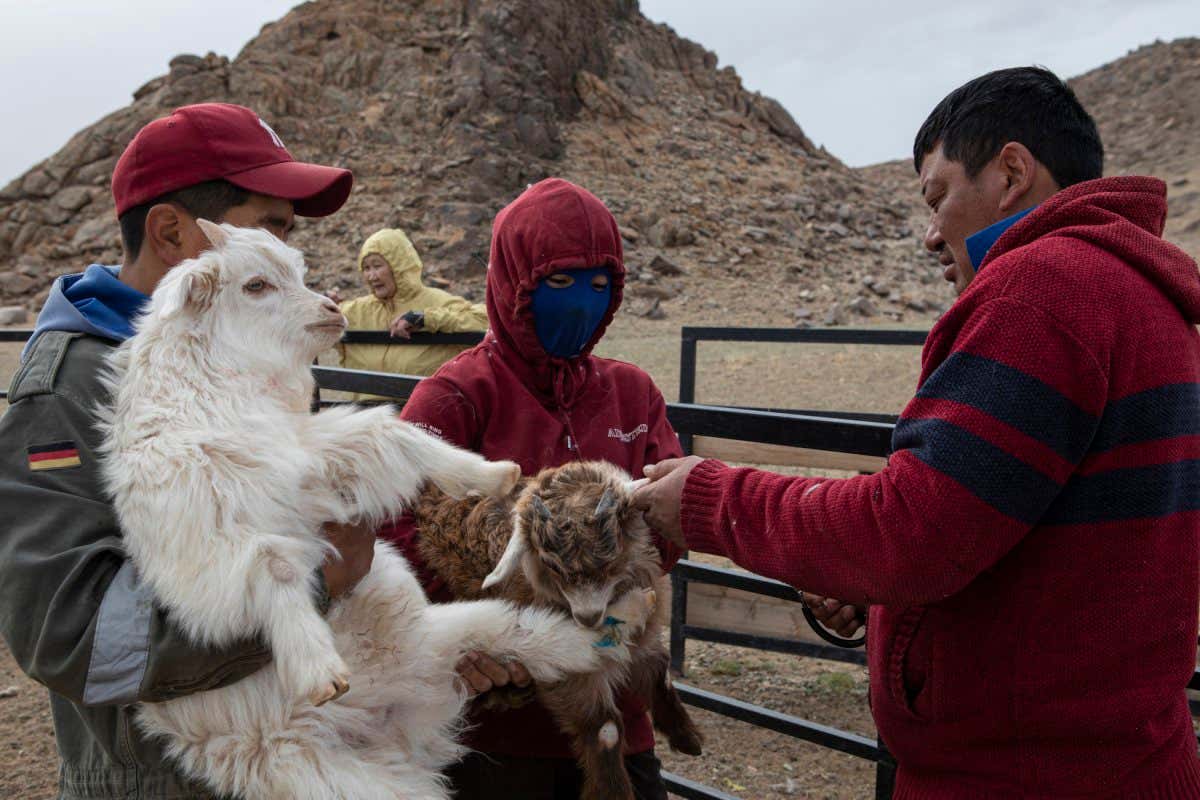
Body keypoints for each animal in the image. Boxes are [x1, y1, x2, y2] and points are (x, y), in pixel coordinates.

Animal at [99, 221, 657, 800]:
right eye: (255, 285)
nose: (331, 309)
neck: (212, 392)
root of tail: (384, 719)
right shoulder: (202, 550)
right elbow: (274, 564)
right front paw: (318, 667)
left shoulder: (304, 450)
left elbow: (386, 432)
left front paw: (492, 475)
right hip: (333, 770)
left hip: (437, 636)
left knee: (540, 638)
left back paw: (625, 614)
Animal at [415, 459, 704, 800]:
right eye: (552, 566)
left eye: (610, 559)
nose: (588, 617)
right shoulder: (570, 673)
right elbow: (606, 729)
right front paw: (613, 792)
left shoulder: (643, 635)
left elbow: (661, 670)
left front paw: (687, 738)